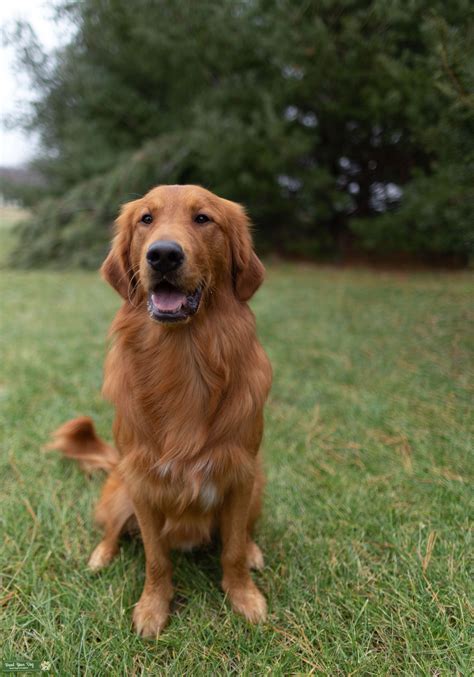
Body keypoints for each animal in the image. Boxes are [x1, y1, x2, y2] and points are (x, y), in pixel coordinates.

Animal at [49, 184, 272, 632]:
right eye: (146, 219)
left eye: (203, 218)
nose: (164, 255)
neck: (183, 360)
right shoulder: (142, 483)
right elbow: (156, 558)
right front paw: (153, 607)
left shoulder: (240, 474)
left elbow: (232, 549)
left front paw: (243, 595)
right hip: (119, 491)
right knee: (112, 531)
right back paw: (101, 555)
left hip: (258, 483)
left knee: (244, 535)